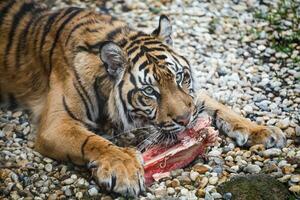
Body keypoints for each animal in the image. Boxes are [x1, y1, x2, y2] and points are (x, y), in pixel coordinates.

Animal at [0, 0, 286, 197]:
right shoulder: (56, 123)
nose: (186, 121)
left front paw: (262, 131)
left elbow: (219, 107)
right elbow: (92, 141)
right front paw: (124, 168)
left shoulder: (193, 98)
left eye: (180, 76)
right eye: (150, 92)